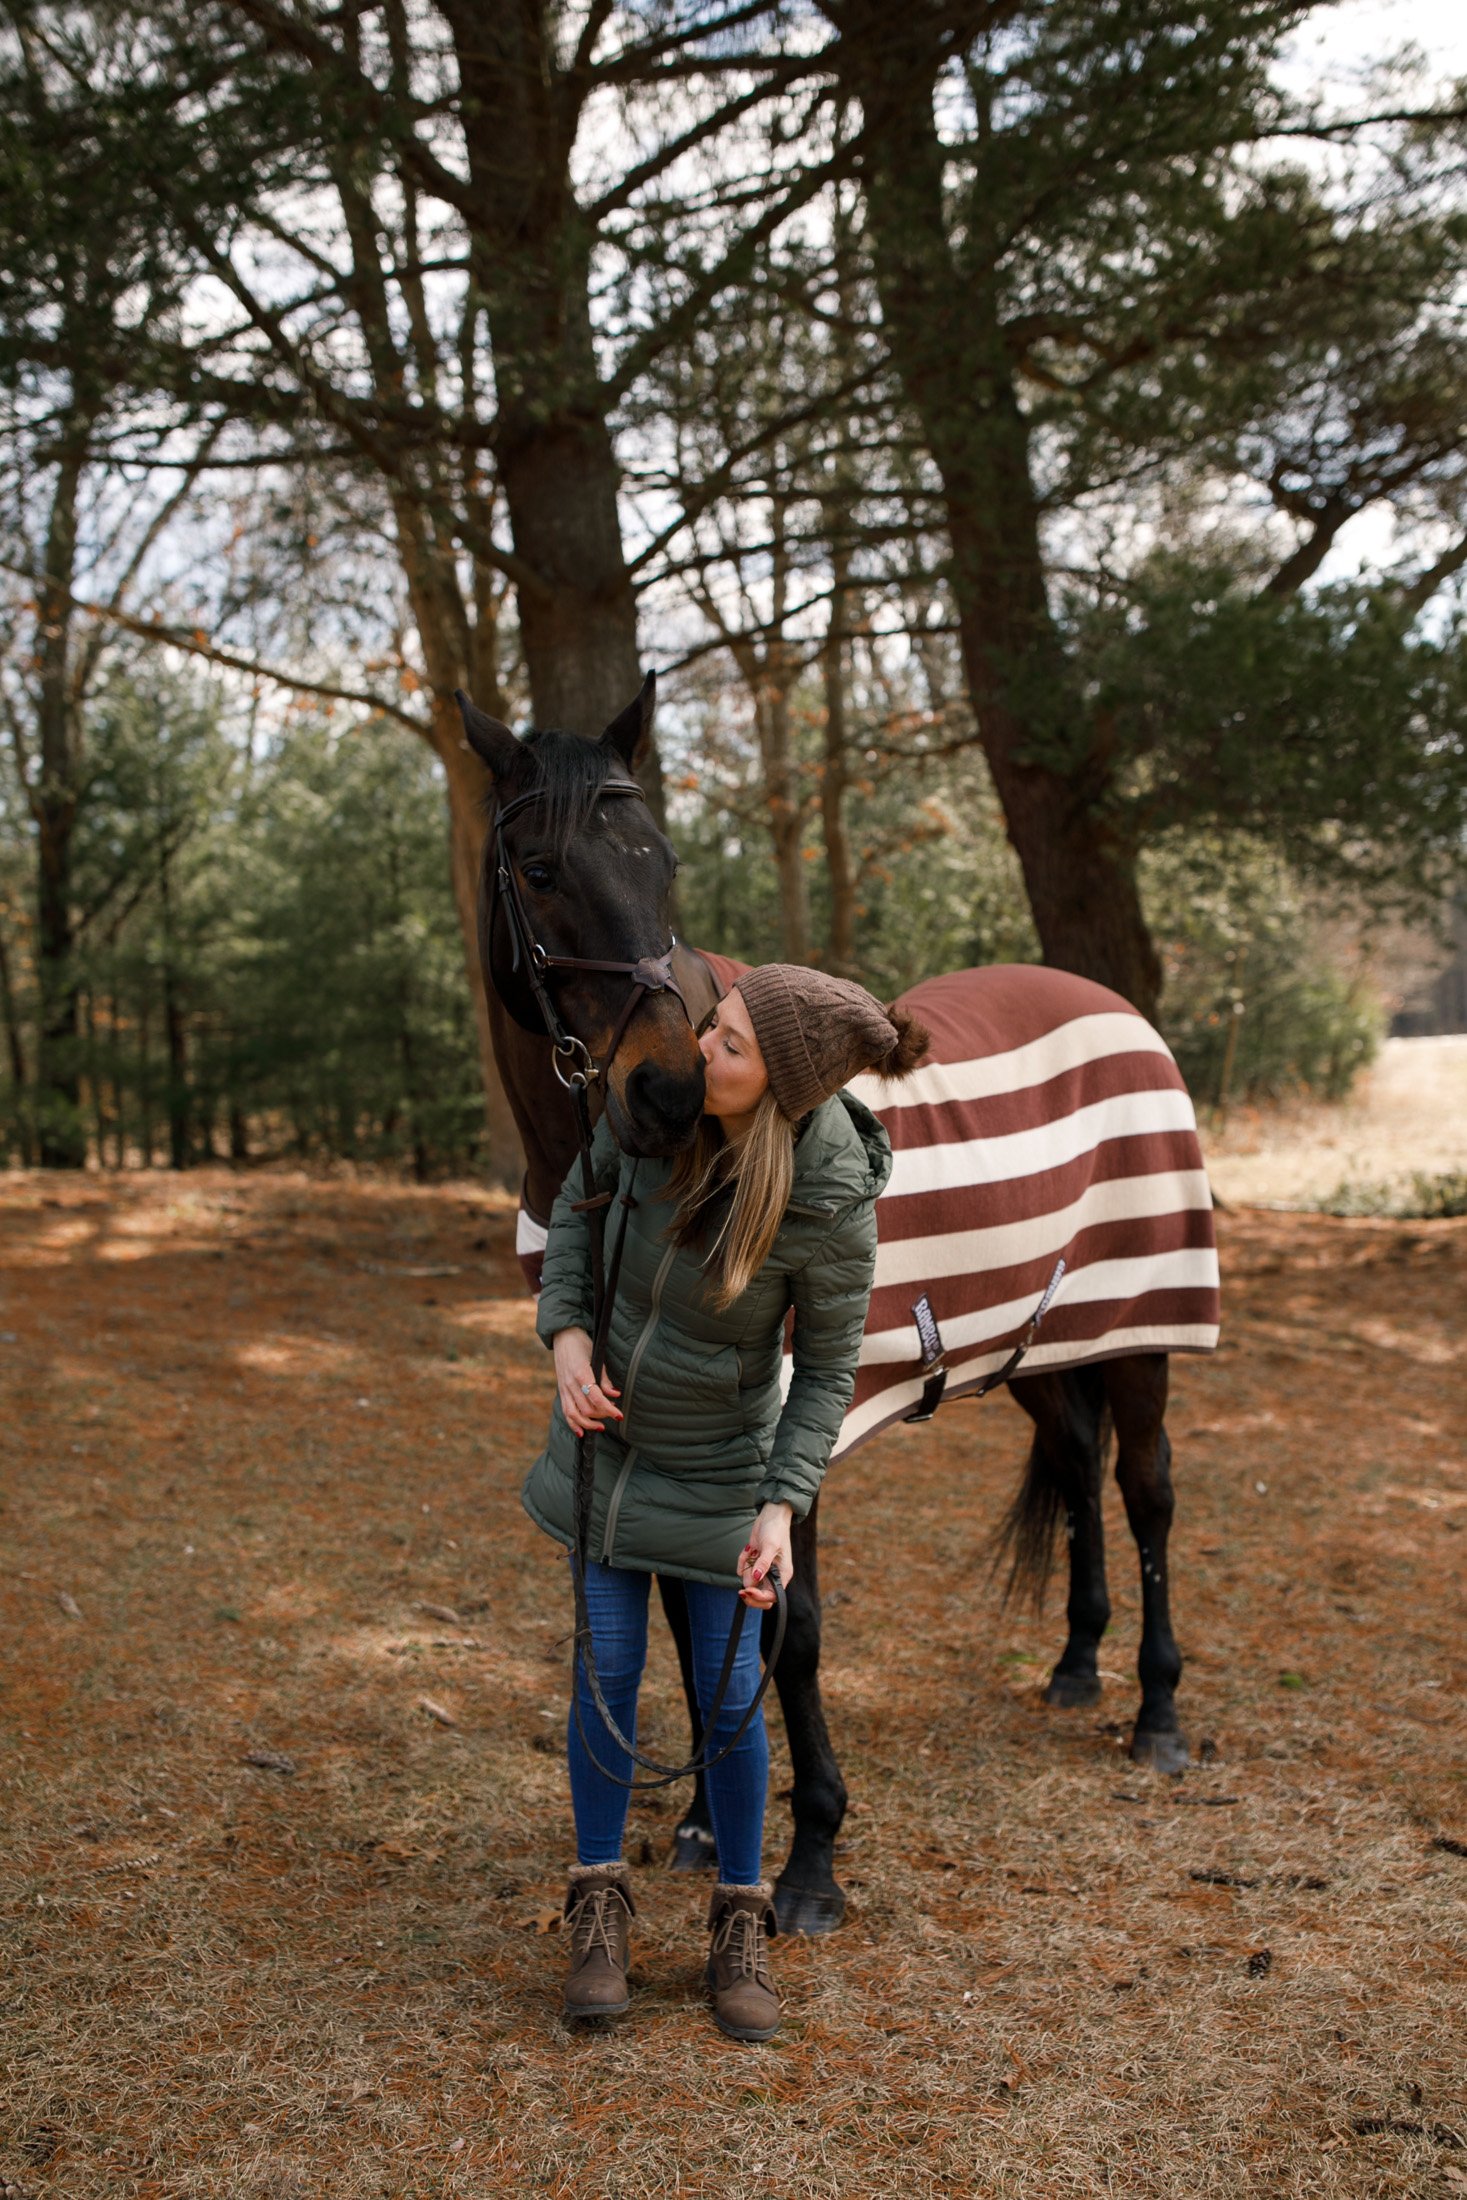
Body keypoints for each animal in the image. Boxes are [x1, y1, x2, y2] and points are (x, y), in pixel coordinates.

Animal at [461, 677, 1214, 1936]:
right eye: (541, 866)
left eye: (660, 860)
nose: (668, 1091)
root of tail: (1118, 1011)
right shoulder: (646, 1417)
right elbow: (688, 1621)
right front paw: (703, 1822)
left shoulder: (783, 1418)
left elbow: (791, 1629)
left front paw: (811, 1855)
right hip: (1036, 1337)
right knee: (1076, 1462)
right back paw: (1074, 1664)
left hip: (1140, 1326)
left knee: (1147, 1491)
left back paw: (1156, 1714)